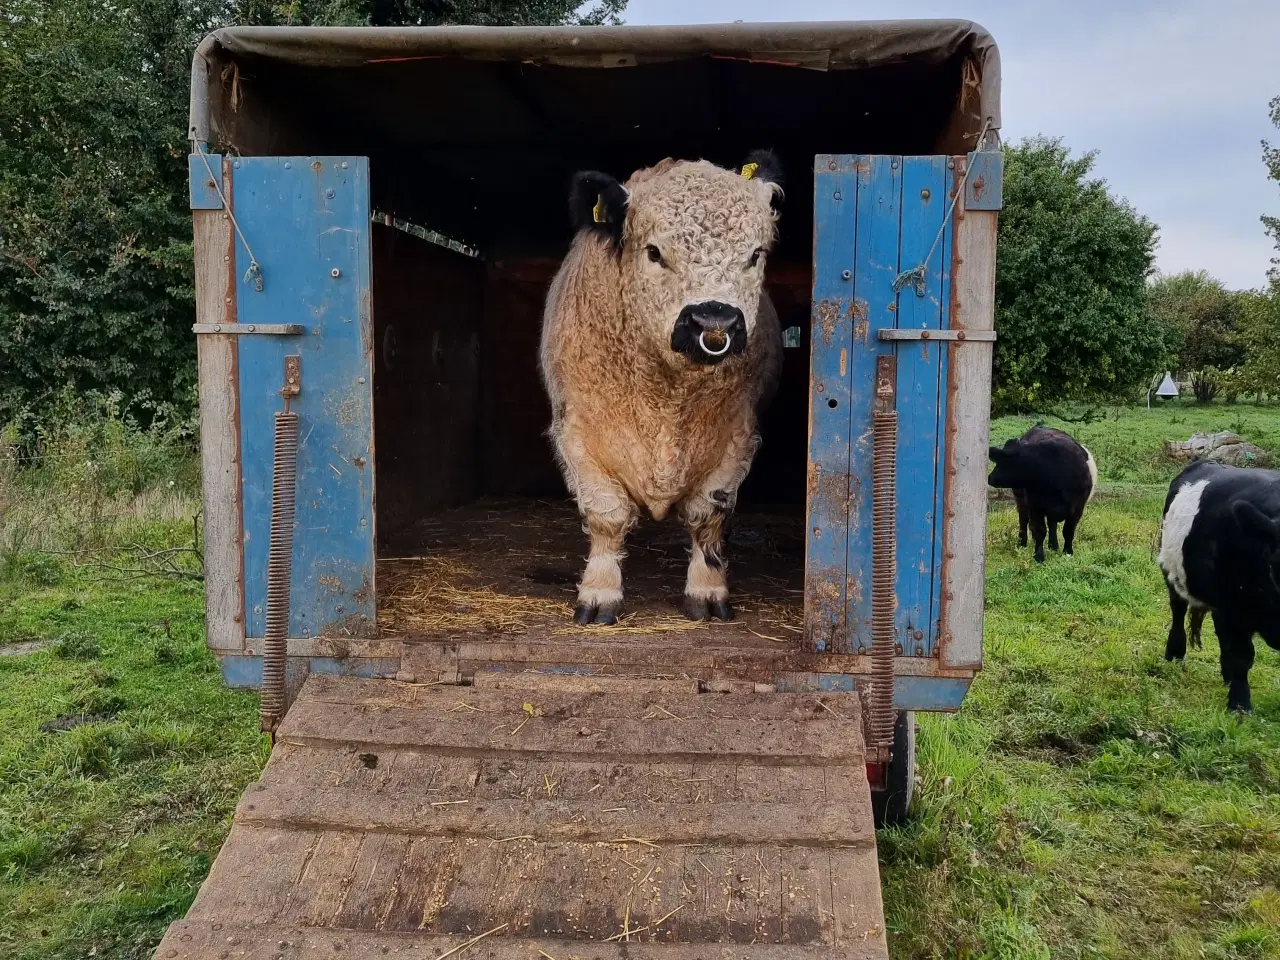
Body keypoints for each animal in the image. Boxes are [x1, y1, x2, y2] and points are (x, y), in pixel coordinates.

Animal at [988, 427, 1100, 563]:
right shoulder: (1035, 505)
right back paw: (1022, 543)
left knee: (1051, 524)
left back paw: (1053, 546)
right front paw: (1039, 556)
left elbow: (1068, 530)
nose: (989, 478)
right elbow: (1039, 530)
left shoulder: (1078, 507)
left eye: (1002, 462)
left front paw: (1068, 553)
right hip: (1020, 498)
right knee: (1023, 520)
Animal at [1162, 458, 1280, 716]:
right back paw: (1174, 655)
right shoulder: (1233, 609)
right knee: (1178, 611)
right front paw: (1239, 706)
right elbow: (1241, 655)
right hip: (1173, 574)